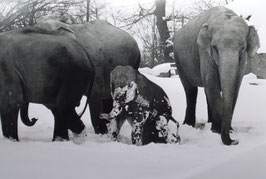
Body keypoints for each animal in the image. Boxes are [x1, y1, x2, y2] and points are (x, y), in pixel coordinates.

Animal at [174, 6, 258, 145]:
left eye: (242, 48)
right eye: (215, 48)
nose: (235, 141)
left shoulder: (242, 61)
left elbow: (235, 86)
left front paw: (229, 130)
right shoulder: (204, 52)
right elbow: (211, 83)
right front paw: (218, 132)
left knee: (205, 92)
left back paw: (209, 123)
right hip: (179, 61)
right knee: (191, 90)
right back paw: (189, 124)